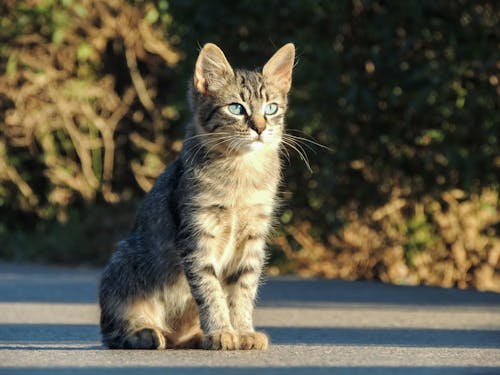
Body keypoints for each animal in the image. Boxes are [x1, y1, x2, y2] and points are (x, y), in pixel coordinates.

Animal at [99, 42, 294, 352]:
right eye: (236, 108)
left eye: (271, 108)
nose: (260, 129)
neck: (240, 171)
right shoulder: (197, 234)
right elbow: (209, 289)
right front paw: (221, 331)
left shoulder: (253, 236)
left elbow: (243, 291)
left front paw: (243, 331)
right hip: (122, 265)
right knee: (113, 331)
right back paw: (147, 333)